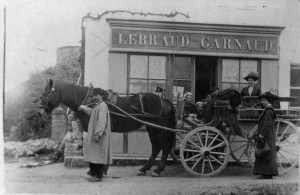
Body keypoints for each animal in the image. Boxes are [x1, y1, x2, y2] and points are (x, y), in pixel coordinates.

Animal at [39, 79, 176, 177]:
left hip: (158, 128)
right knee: (156, 147)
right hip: (151, 128)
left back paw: (158, 170)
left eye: (45, 94)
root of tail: (164, 100)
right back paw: (144, 169)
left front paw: (96, 170)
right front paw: (101, 169)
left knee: (165, 146)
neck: (88, 99)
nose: (40, 113)